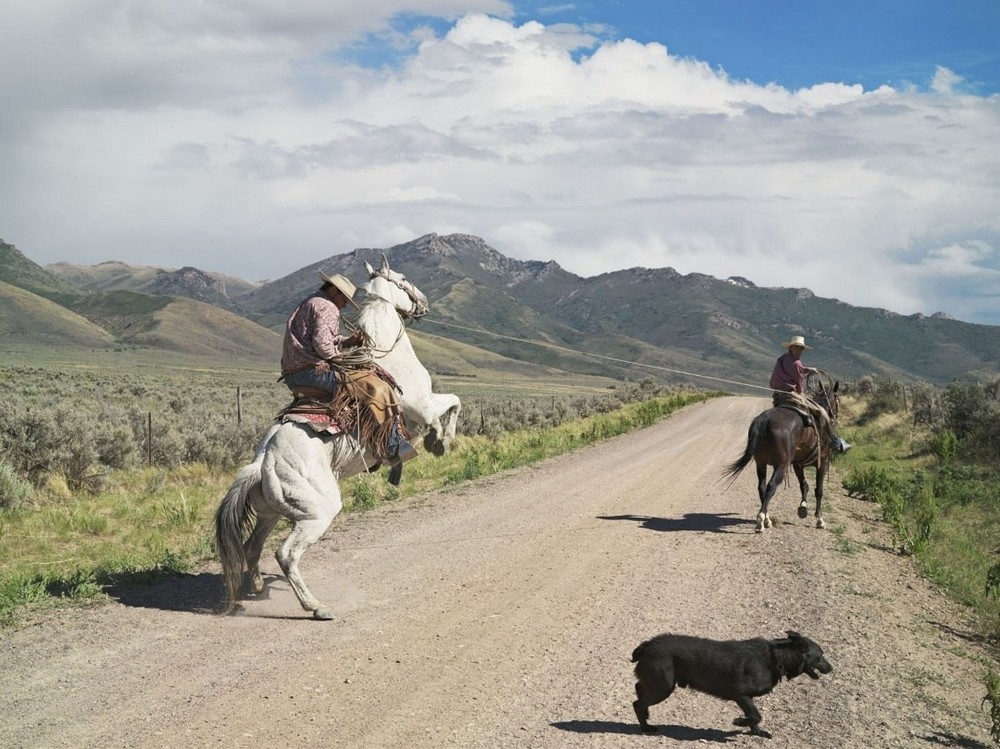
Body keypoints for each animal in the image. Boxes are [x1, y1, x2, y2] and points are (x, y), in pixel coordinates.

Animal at [217, 258, 462, 620]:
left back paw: (259, 588)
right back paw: (315, 606)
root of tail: (261, 464)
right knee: (285, 555)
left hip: (270, 513)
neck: (387, 353)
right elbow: (454, 403)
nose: (423, 302)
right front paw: (440, 441)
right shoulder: (423, 405)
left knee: (251, 547)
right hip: (316, 513)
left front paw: (434, 440)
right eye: (403, 278)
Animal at [628, 632, 832, 736]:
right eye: (820, 656)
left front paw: (757, 732)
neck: (775, 658)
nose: (831, 668)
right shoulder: (741, 694)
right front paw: (739, 722)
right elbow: (756, 716)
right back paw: (646, 727)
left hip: (658, 683)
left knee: (639, 690)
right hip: (663, 686)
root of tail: (648, 645)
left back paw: (646, 716)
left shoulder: (746, 698)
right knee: (637, 703)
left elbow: (754, 717)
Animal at [724, 376, 840, 528]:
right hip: (781, 465)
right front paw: (819, 519)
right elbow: (819, 490)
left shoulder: (797, 465)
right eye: (837, 401)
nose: (835, 417)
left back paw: (767, 519)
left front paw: (803, 508)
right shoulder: (823, 462)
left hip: (760, 463)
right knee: (771, 486)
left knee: (762, 487)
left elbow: (804, 485)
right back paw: (761, 519)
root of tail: (764, 419)